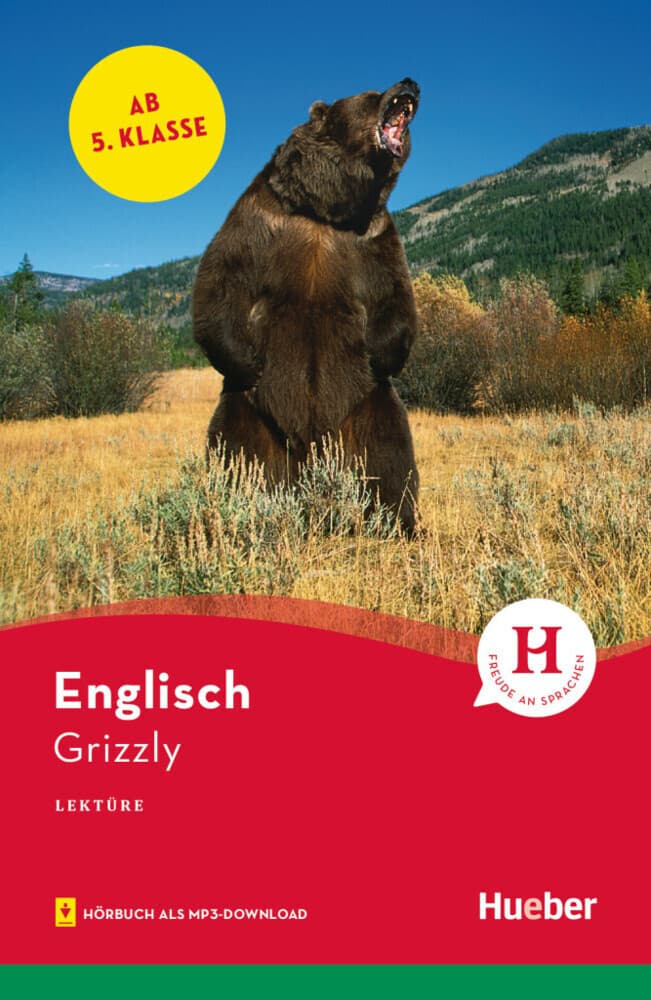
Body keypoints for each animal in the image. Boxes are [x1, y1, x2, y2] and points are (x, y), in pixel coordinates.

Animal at [192, 79, 420, 531]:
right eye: (372, 94)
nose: (410, 83)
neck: (326, 211)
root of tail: (308, 455)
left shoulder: (375, 238)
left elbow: (395, 294)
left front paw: (381, 353)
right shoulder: (259, 219)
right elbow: (221, 279)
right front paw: (246, 359)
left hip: (368, 408)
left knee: (389, 459)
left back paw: (397, 522)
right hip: (249, 414)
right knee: (234, 455)